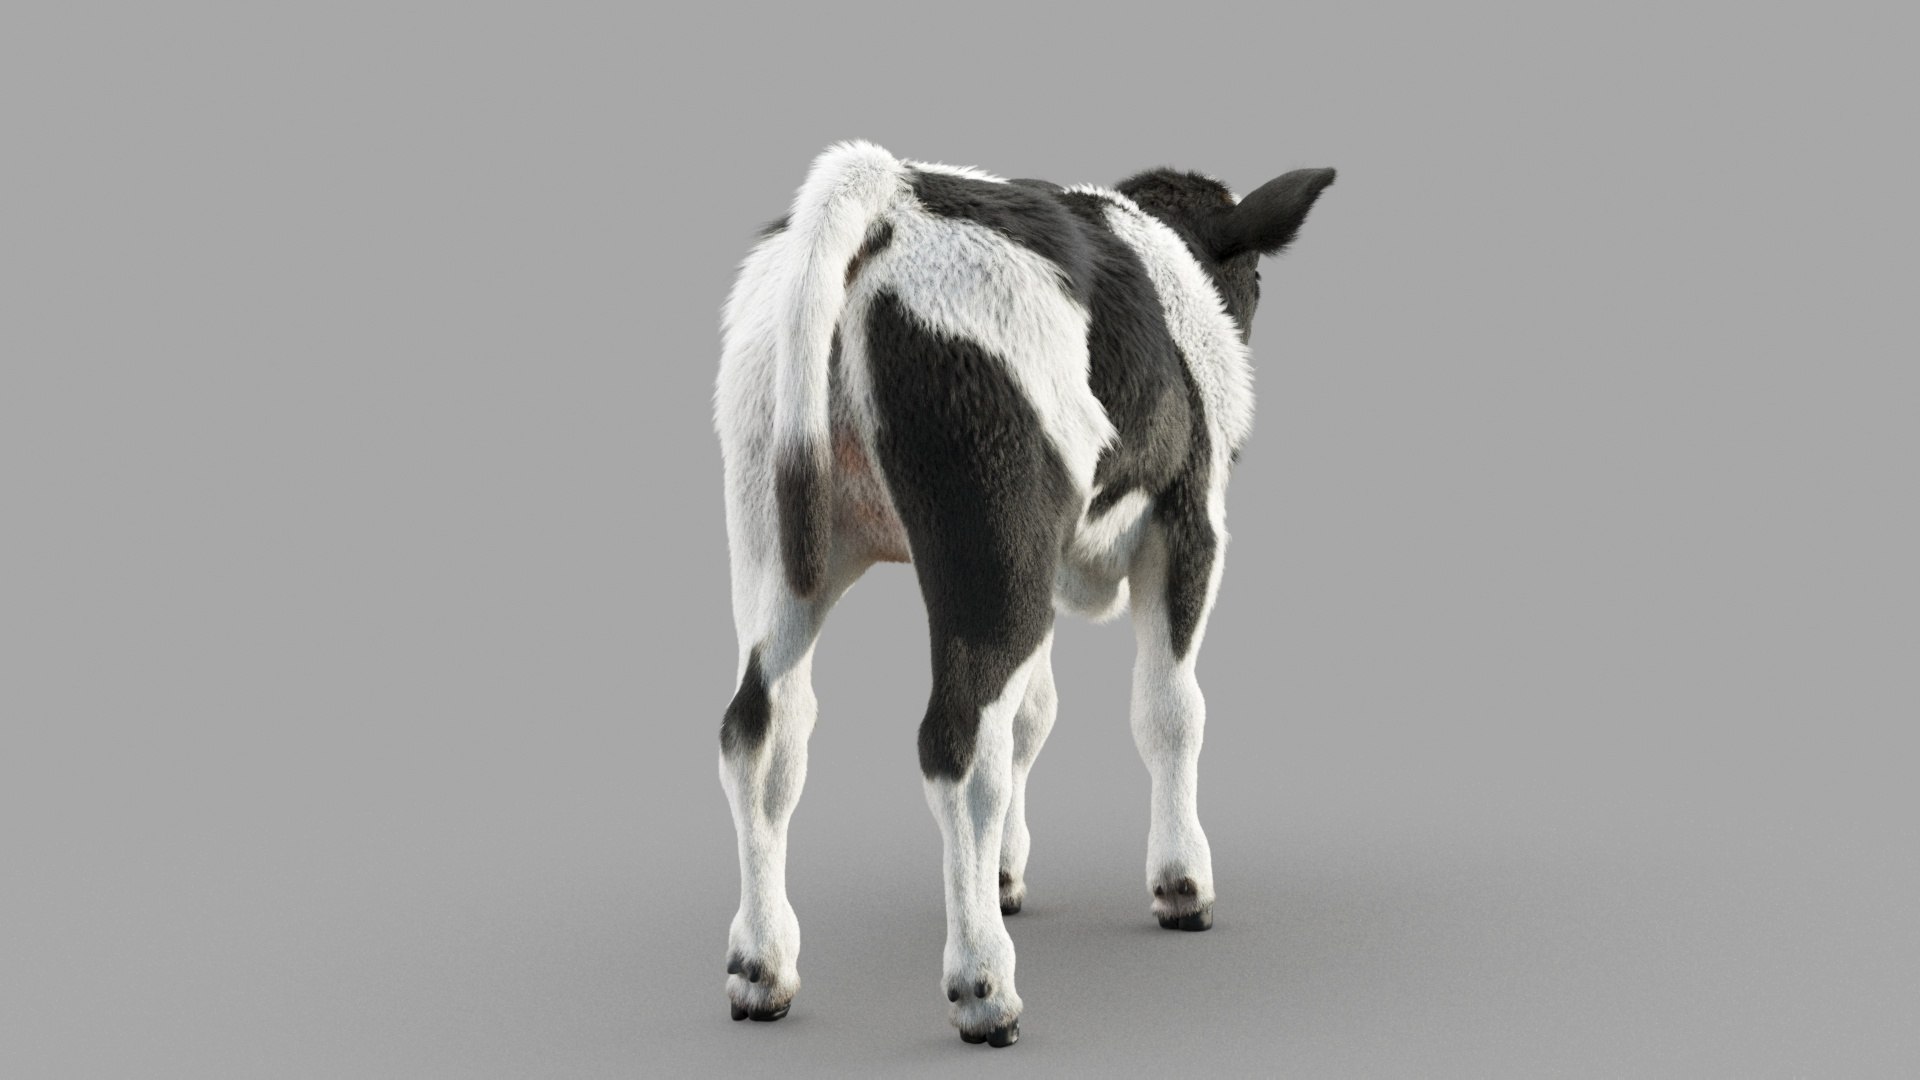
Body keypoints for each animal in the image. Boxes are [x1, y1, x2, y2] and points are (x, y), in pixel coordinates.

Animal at [713, 141, 1335, 1046]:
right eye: (1254, 272)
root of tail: (891, 190)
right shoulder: (1189, 518)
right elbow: (1170, 711)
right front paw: (1182, 882)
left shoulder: (1050, 555)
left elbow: (1033, 717)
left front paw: (1003, 876)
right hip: (990, 529)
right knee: (958, 743)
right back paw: (984, 986)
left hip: (783, 532)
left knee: (762, 733)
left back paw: (761, 966)